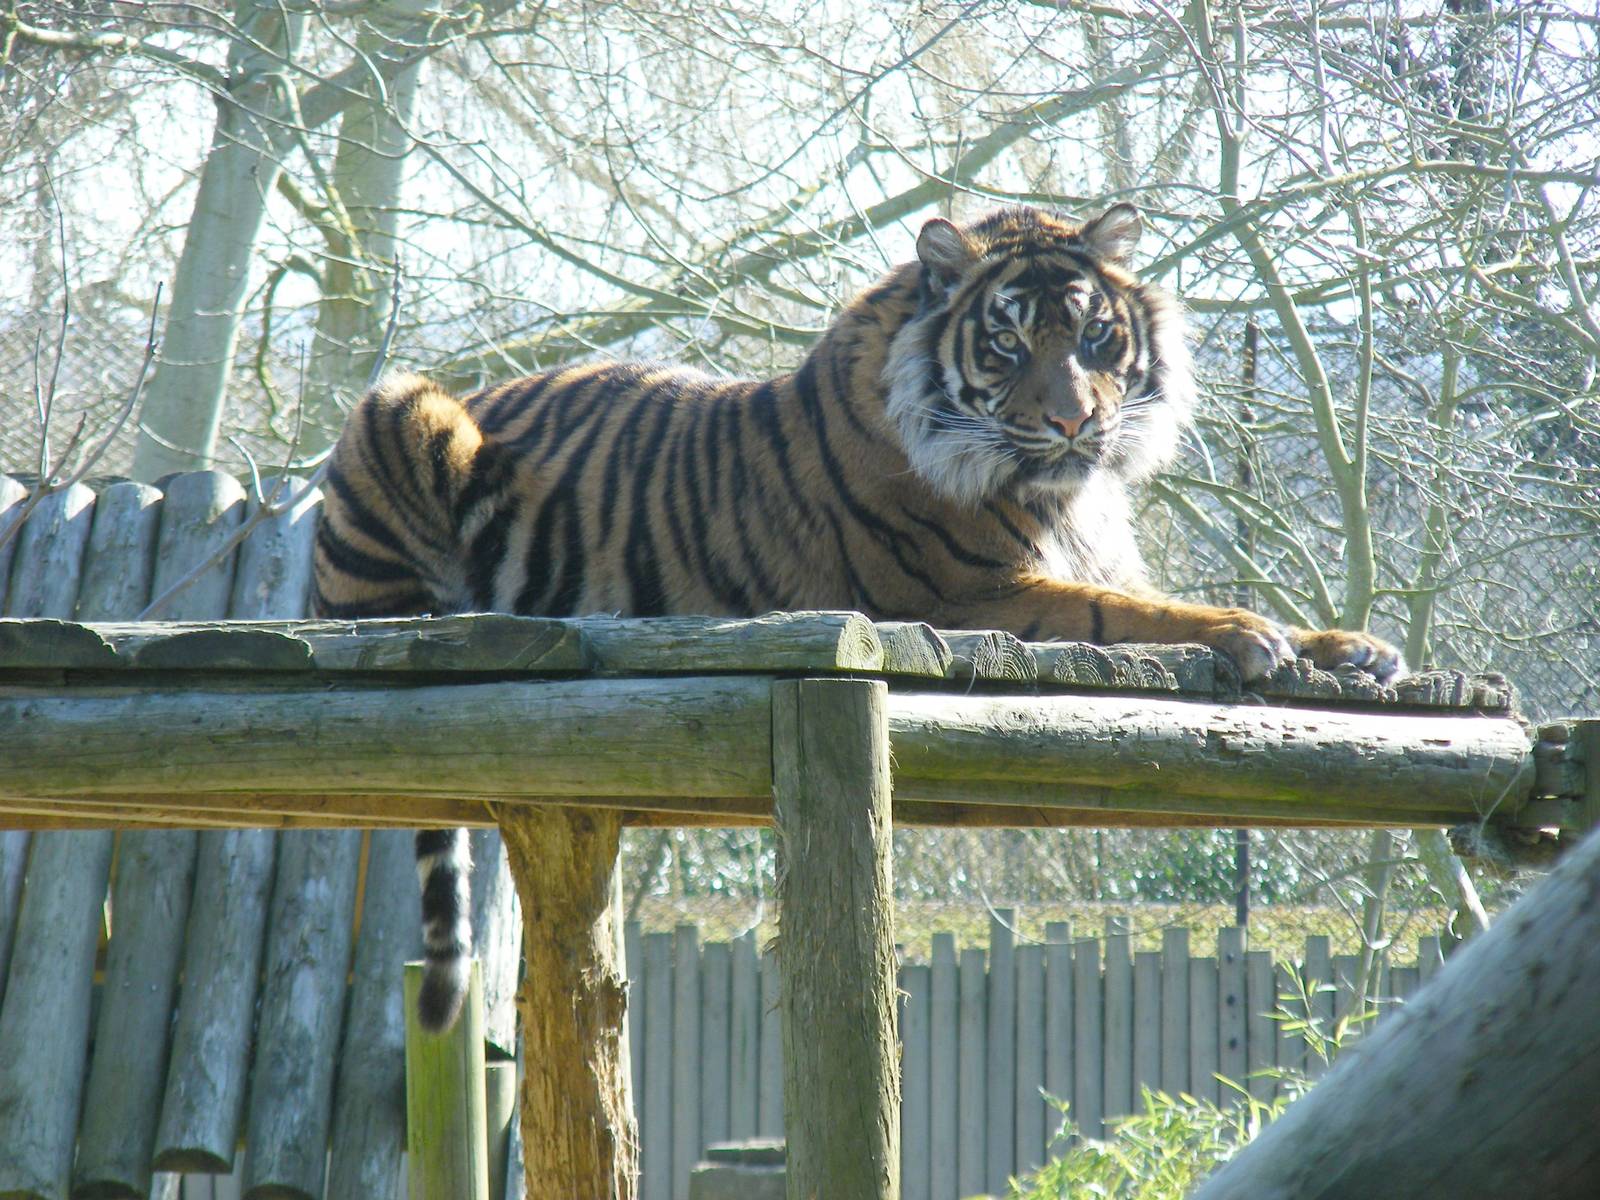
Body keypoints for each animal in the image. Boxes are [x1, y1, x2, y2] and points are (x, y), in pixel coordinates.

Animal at [313, 202, 1405, 1030]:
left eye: (1098, 335)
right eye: (1007, 340)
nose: (1073, 422)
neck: (1066, 494)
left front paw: (1353, 647)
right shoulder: (980, 593)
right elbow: (1132, 612)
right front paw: (1247, 636)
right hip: (398, 408)